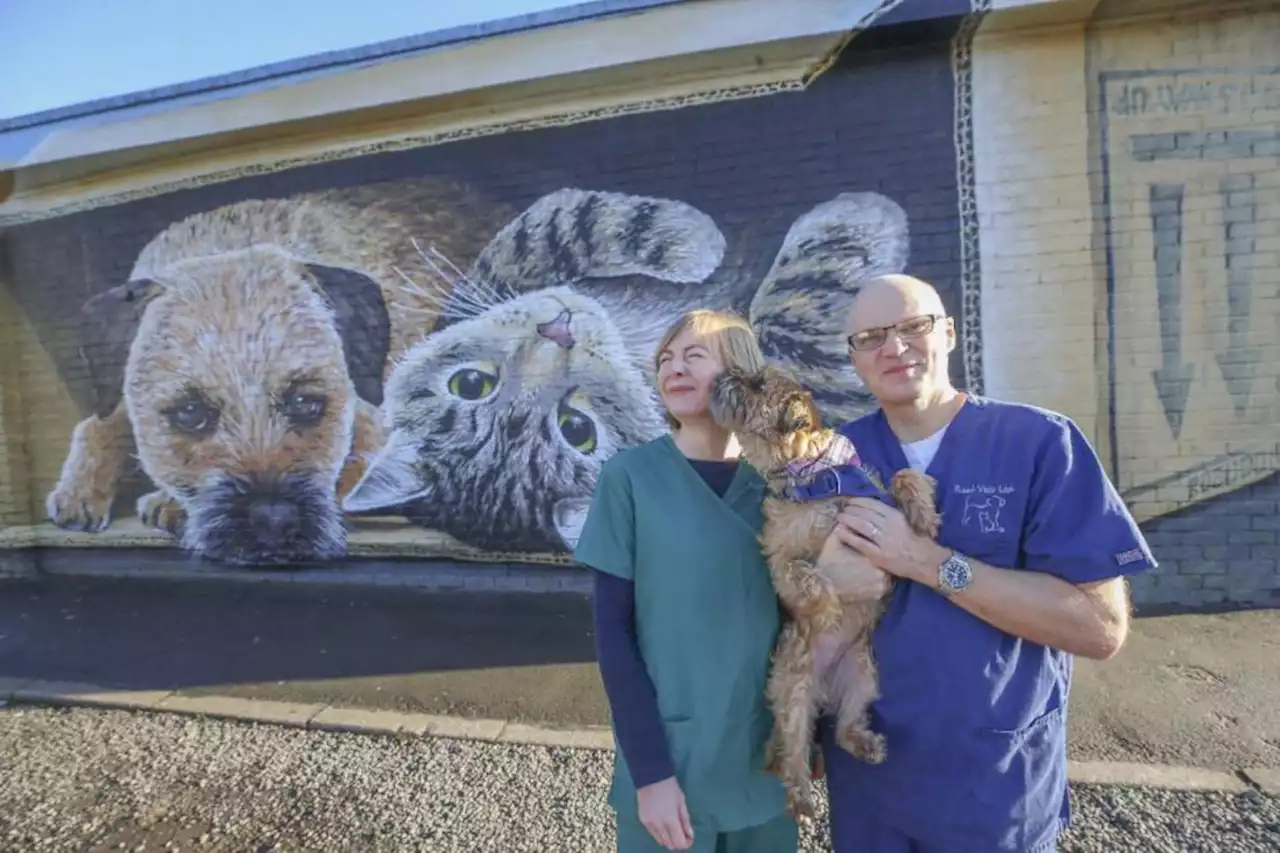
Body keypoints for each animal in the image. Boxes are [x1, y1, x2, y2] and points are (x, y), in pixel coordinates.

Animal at [340, 185, 911, 550]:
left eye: (470, 383)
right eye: (577, 430)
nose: (558, 331)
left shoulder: (489, 280)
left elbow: (543, 229)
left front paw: (683, 238)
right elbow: (784, 329)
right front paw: (862, 220)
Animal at [711, 363, 942, 819]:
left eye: (757, 384)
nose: (721, 376)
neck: (814, 474)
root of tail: (825, 688)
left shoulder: (874, 500)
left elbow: (903, 476)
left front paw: (923, 515)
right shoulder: (779, 558)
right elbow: (807, 576)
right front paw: (829, 607)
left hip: (864, 677)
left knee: (844, 730)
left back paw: (865, 743)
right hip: (794, 694)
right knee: (793, 752)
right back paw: (800, 795)